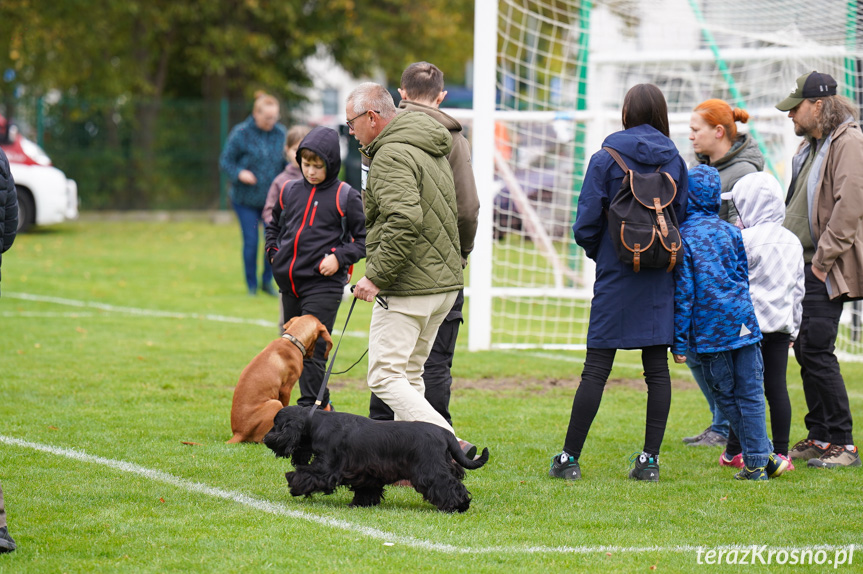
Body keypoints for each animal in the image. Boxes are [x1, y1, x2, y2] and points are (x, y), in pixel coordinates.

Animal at [226, 316, 334, 446]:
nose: (312, 356)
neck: (292, 341)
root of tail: (238, 433)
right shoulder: (286, 389)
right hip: (274, 404)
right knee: (260, 440)